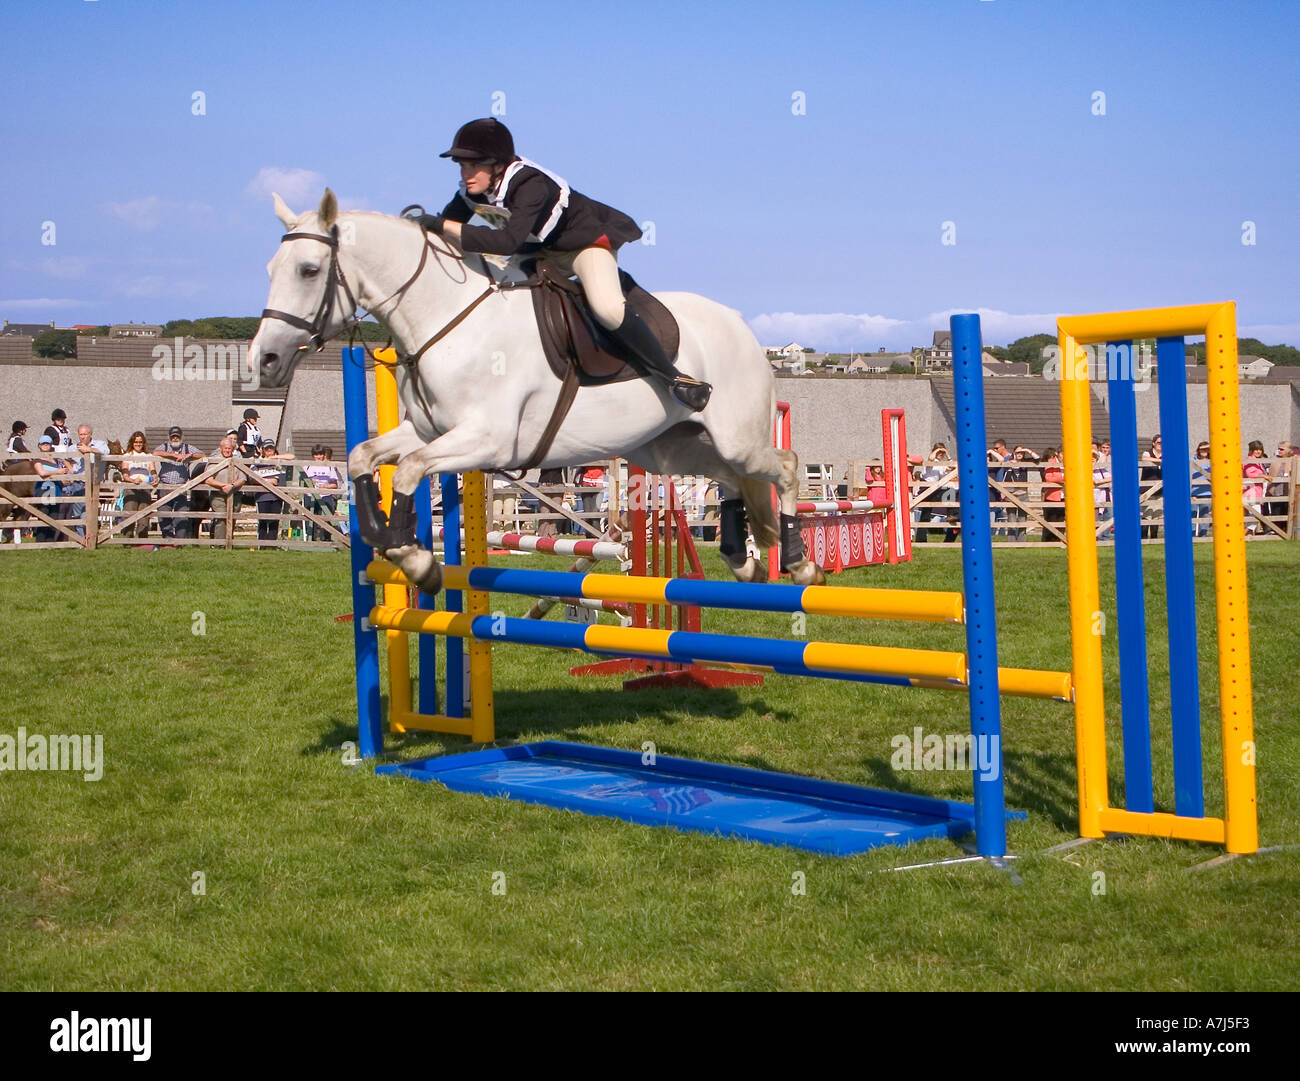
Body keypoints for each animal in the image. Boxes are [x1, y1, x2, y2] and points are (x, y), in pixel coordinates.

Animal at [248, 187, 826, 592]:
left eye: (309, 269)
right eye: (271, 268)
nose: (265, 360)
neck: (446, 319)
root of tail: (741, 327)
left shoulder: (487, 441)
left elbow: (409, 471)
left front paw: (414, 559)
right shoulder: (429, 431)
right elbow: (363, 457)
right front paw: (389, 544)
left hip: (734, 435)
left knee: (786, 466)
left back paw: (800, 564)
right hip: (670, 448)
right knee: (730, 480)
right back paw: (742, 561)